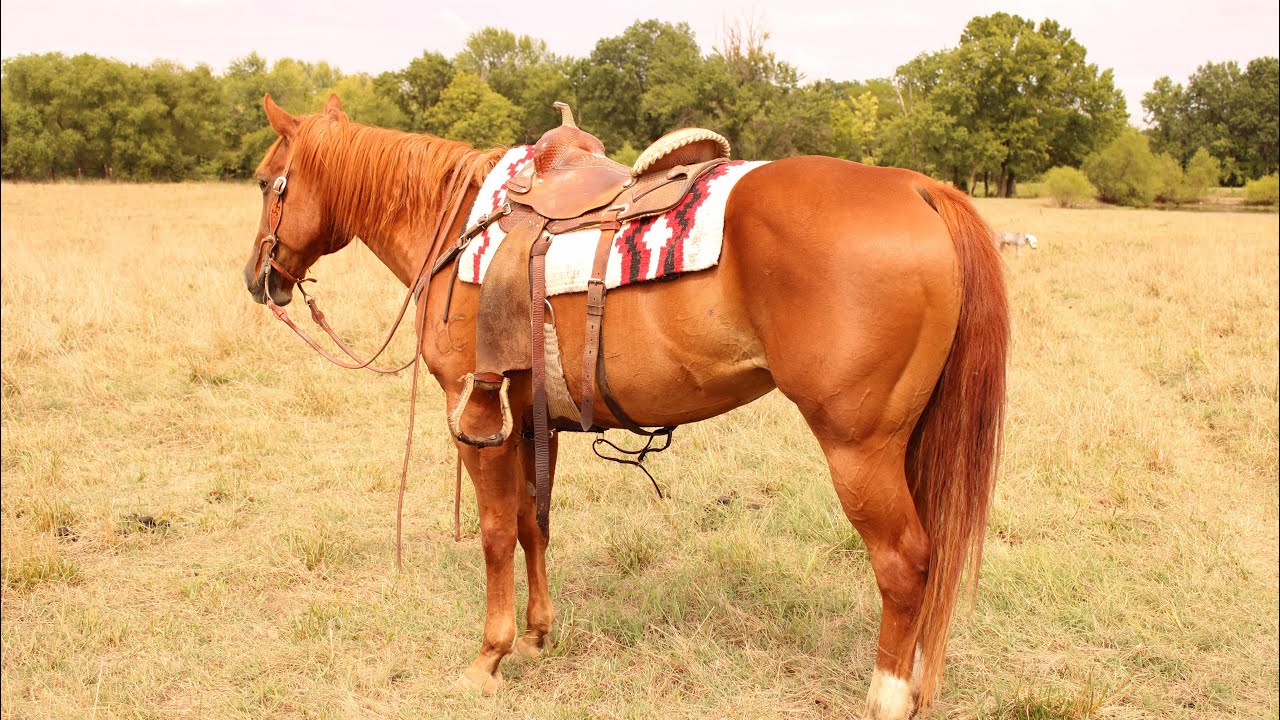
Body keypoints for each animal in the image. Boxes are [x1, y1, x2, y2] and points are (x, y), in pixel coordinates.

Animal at [240, 93, 1008, 719]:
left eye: (266, 182)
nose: (257, 277)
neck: (455, 224)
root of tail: (920, 187)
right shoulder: (532, 418)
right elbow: (533, 524)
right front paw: (538, 635)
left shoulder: (479, 418)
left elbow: (494, 533)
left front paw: (488, 658)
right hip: (910, 442)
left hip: (858, 447)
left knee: (905, 562)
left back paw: (888, 697)